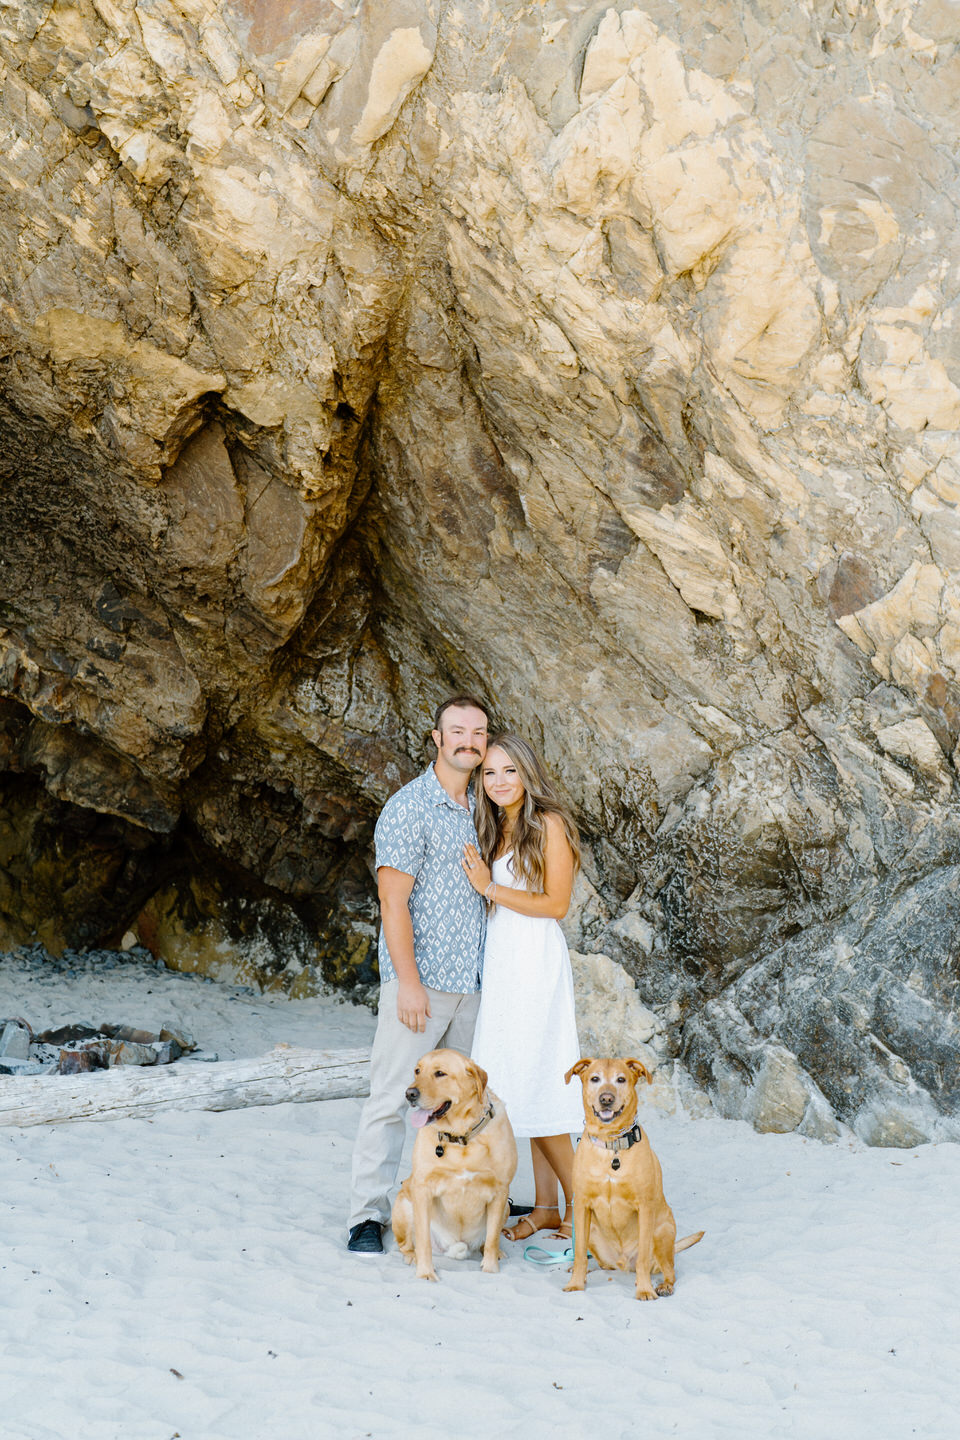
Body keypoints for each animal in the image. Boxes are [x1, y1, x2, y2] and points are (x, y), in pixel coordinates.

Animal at [391, 1048, 518, 1284]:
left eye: (440, 1073)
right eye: (417, 1071)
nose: (409, 1094)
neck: (460, 1137)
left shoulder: (500, 1190)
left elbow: (492, 1238)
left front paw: (490, 1269)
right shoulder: (422, 1189)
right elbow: (423, 1240)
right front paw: (425, 1272)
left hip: (506, 1206)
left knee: (487, 1240)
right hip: (404, 1203)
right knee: (407, 1244)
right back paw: (412, 1257)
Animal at [564, 1059, 705, 1307]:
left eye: (621, 1079)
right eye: (595, 1078)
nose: (606, 1098)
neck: (611, 1145)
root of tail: (622, 1262)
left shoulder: (645, 1207)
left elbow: (643, 1259)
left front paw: (645, 1290)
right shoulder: (581, 1205)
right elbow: (579, 1253)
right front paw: (576, 1283)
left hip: (662, 1232)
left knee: (669, 1270)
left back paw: (663, 1285)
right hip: (591, 1231)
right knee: (598, 1262)